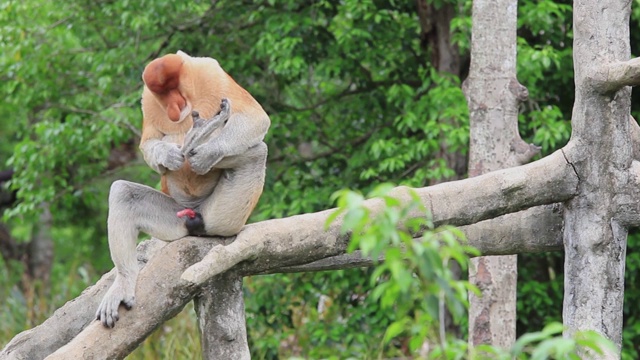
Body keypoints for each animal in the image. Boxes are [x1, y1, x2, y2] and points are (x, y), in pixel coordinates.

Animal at [96, 51, 272, 330]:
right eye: (163, 93)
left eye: (173, 88)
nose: (173, 107)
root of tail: (194, 214)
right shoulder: (148, 100)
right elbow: (148, 142)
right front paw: (168, 156)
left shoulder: (210, 72)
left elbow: (256, 117)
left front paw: (205, 152)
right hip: (175, 217)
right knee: (124, 193)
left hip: (221, 216)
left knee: (257, 151)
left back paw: (201, 140)